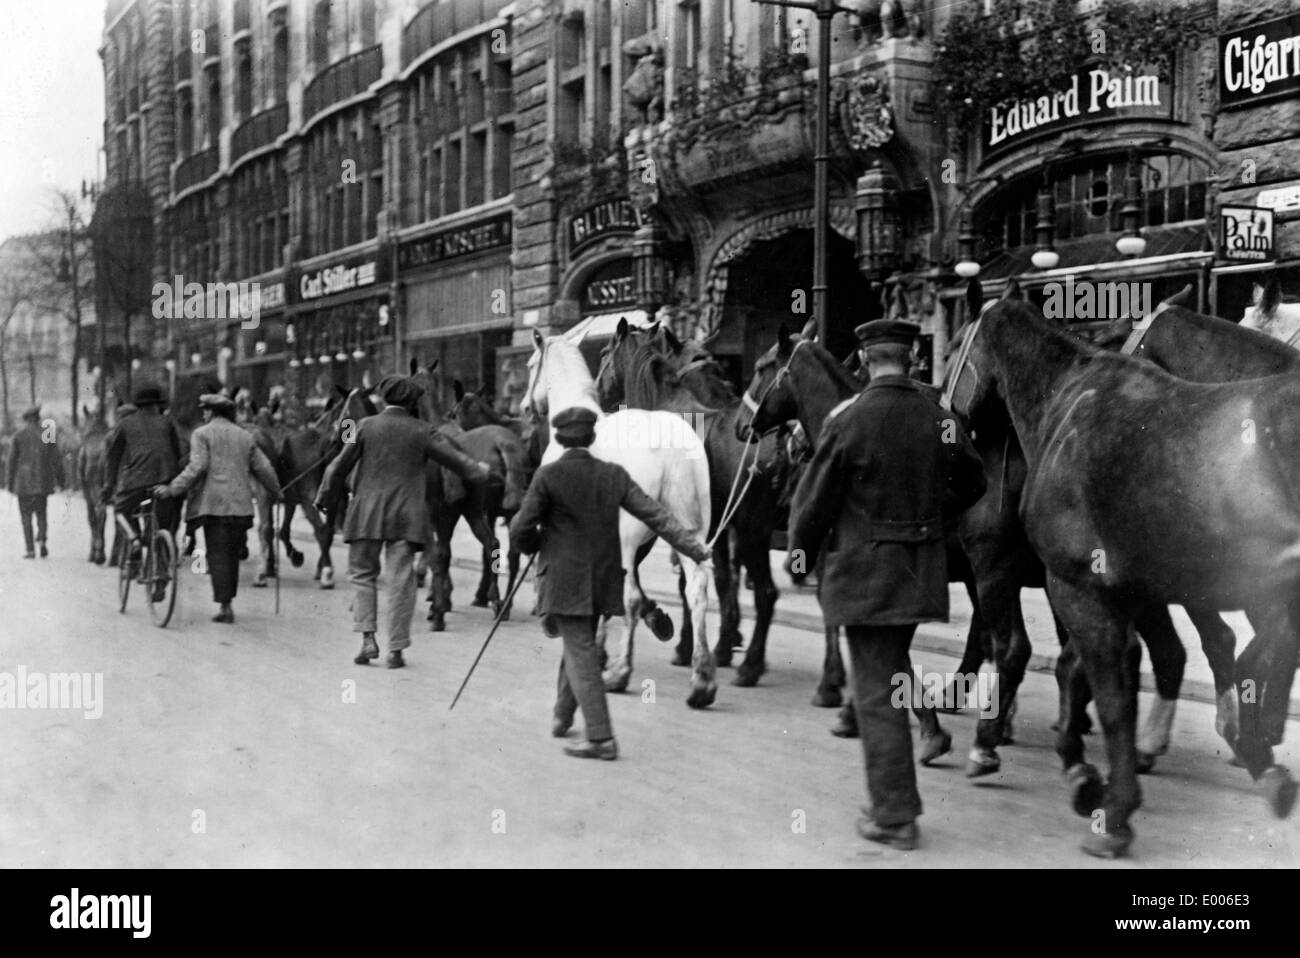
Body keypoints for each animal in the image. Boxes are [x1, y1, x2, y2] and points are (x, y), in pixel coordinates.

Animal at [520, 324, 722, 707]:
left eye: (531, 364)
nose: (525, 407)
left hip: (629, 537)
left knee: (630, 598)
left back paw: (620, 673)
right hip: (691, 534)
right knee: (697, 591)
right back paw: (702, 680)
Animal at [951, 295, 1300, 857]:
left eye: (955, 348)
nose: (948, 414)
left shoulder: (1077, 586)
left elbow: (1111, 691)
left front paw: (1111, 808)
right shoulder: (1115, 589)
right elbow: (1091, 671)